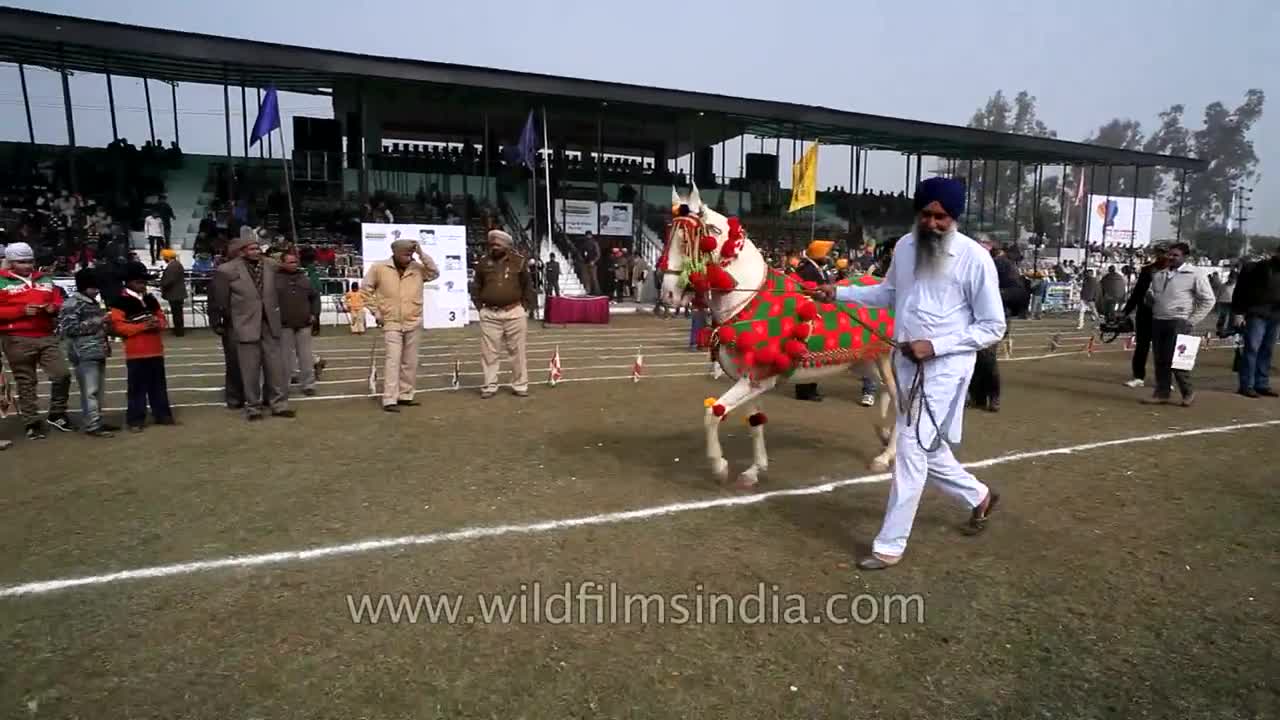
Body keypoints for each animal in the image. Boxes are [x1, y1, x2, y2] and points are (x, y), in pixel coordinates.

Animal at [660, 184, 901, 486]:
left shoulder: (755, 379)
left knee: (903, 404)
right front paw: (754, 470)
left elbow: (712, 414)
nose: (668, 294)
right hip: (865, 361)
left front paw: (720, 466)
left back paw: (886, 455)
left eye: (685, 239)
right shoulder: (750, 379)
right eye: (668, 234)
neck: (748, 301)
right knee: (883, 393)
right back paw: (883, 435)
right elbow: (754, 423)